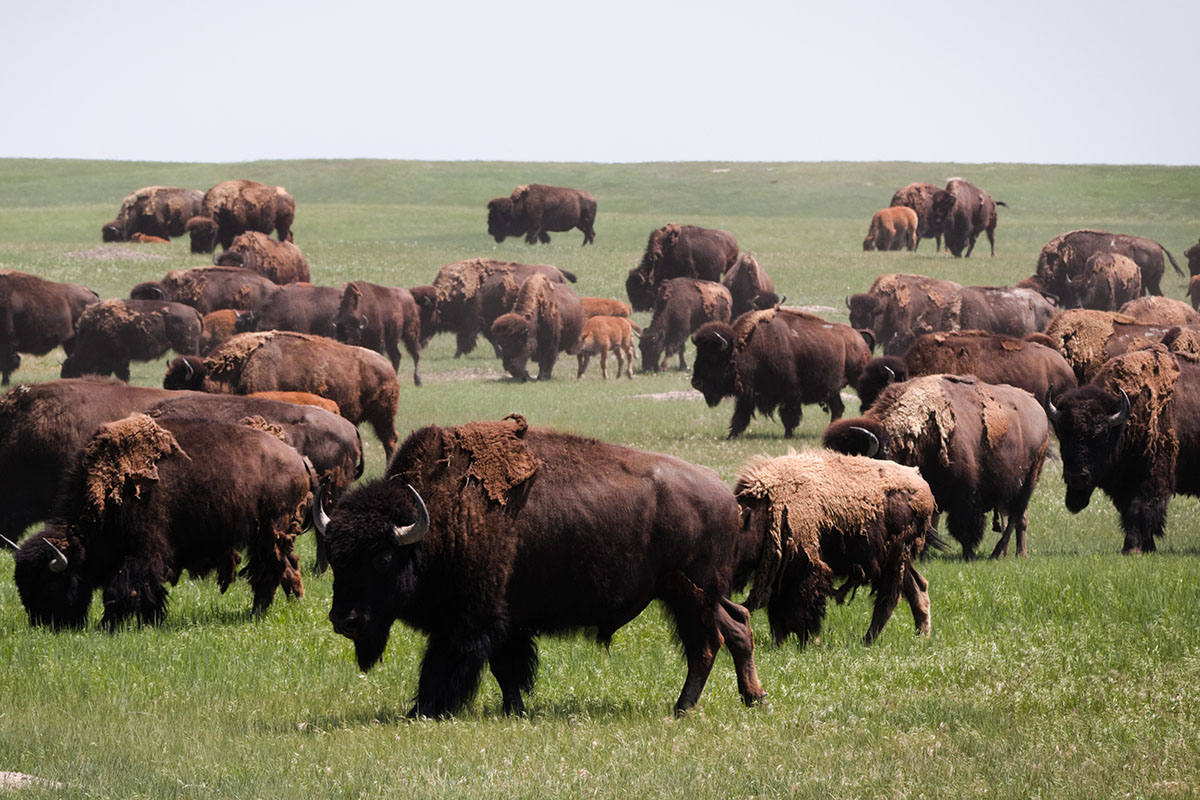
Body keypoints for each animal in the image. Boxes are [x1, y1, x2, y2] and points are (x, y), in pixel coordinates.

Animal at [317, 414, 766, 717]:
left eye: (382, 557)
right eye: (336, 559)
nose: (344, 620)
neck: (436, 518)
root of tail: (725, 496)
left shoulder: (471, 619)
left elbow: (446, 666)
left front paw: (422, 711)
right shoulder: (506, 622)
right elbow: (506, 668)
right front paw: (513, 709)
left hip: (692, 596)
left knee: (706, 645)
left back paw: (683, 707)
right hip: (699, 594)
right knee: (737, 624)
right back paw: (754, 698)